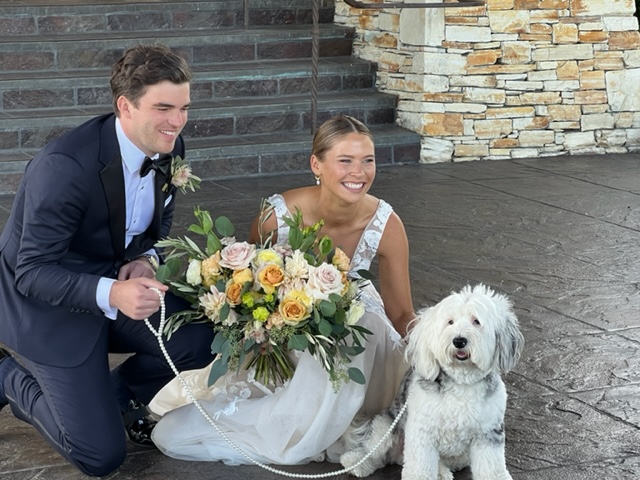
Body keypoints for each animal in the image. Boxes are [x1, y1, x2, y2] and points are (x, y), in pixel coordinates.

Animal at [340, 284, 524, 480]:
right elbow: (420, 469)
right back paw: (355, 462)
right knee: (374, 452)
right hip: (386, 426)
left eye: (476, 321)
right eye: (450, 322)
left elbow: (492, 469)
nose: (459, 341)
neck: (462, 382)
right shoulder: (422, 434)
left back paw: (441, 472)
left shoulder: (488, 434)